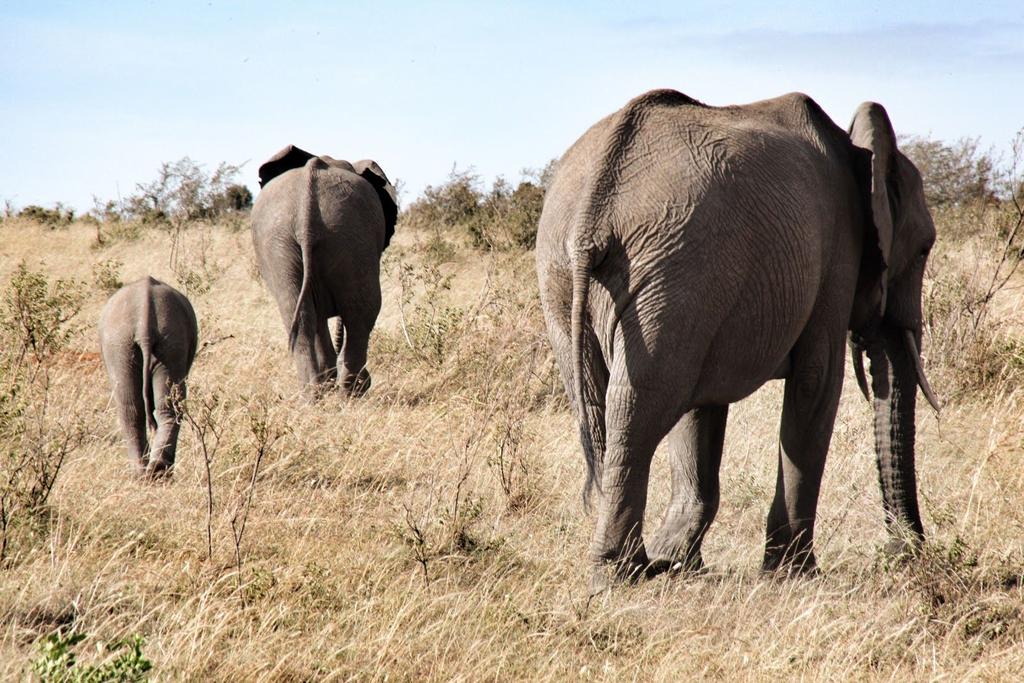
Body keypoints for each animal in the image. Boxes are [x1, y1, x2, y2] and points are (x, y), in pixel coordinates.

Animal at [251, 145, 399, 401]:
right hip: (343, 233)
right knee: (362, 312)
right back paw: (350, 393)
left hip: (285, 241)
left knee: (300, 315)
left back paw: (315, 396)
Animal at [540, 88, 937, 585]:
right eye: (924, 249)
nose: (902, 552)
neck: (859, 151)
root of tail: (595, 206)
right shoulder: (833, 258)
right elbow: (817, 382)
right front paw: (794, 574)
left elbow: (701, 409)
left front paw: (680, 564)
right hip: (673, 265)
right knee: (640, 406)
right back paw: (621, 574)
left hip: (584, 273)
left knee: (608, 405)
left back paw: (639, 567)